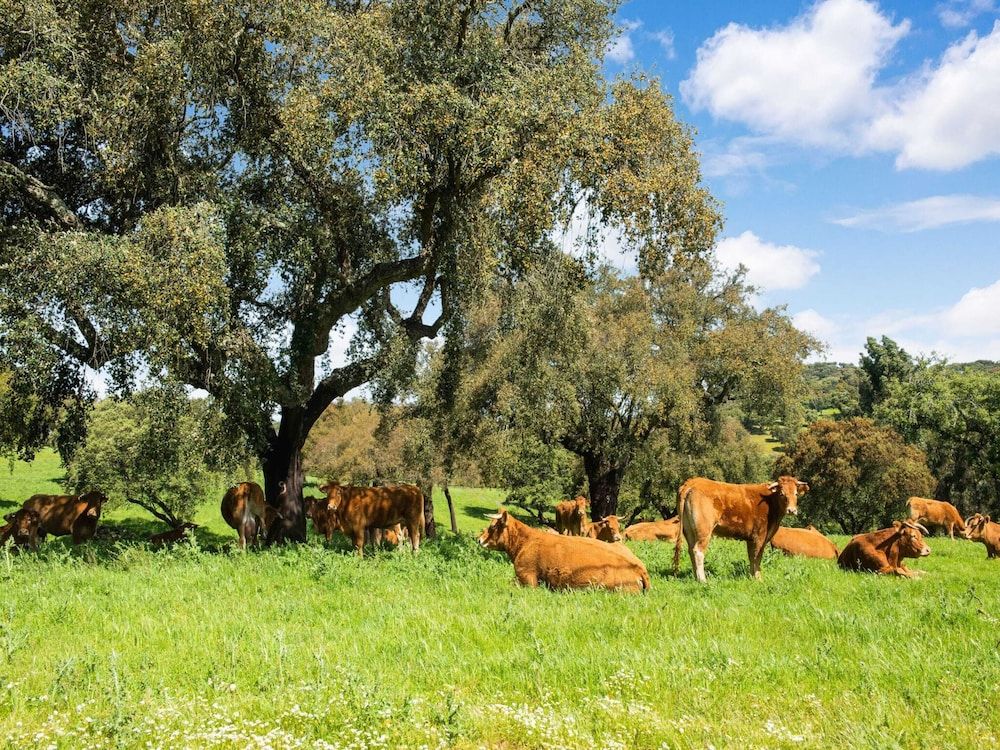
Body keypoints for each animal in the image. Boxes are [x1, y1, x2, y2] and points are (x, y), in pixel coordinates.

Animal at [668, 478, 808, 584]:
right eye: (782, 494)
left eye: (796, 494)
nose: (791, 510)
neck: (770, 502)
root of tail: (693, 481)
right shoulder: (760, 537)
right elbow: (757, 557)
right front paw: (758, 579)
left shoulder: (751, 539)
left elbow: (752, 557)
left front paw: (752, 577)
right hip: (704, 530)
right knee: (698, 551)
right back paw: (703, 580)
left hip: (689, 530)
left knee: (691, 550)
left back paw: (695, 577)